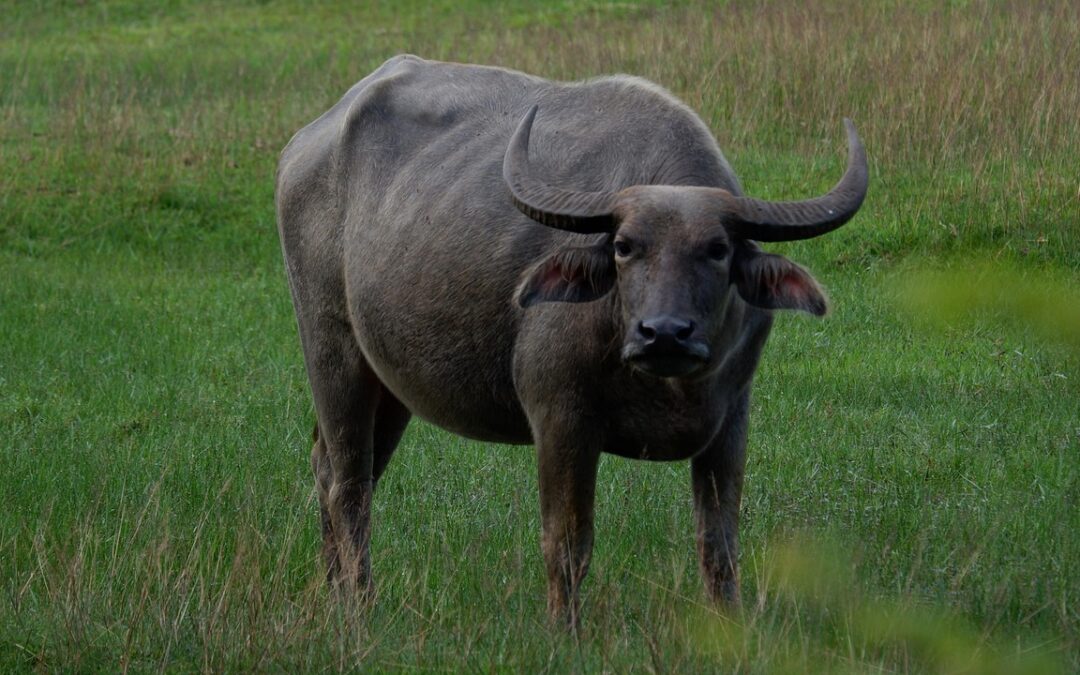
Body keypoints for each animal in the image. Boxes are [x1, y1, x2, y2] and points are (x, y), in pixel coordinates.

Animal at [278, 55, 868, 622]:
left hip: (390, 380)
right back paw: (359, 605)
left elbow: (719, 544)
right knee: (348, 482)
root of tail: (307, 143)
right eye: (625, 246)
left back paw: (333, 590)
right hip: (331, 347)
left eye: (718, 249)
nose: (664, 334)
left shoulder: (730, 420)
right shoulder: (561, 418)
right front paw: (566, 631)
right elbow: (568, 544)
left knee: (337, 467)